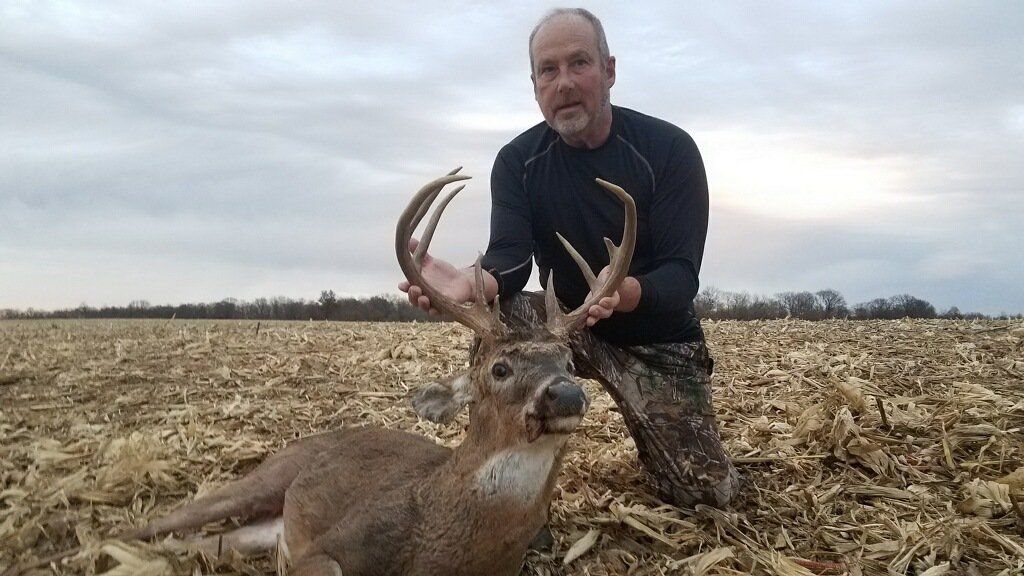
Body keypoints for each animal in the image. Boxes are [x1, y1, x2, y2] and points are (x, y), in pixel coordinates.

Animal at [4, 169, 637, 576]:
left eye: (568, 362)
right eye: (500, 368)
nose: (565, 395)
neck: (444, 542)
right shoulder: (332, 546)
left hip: (263, 524)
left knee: (208, 543)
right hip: (265, 479)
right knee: (153, 525)